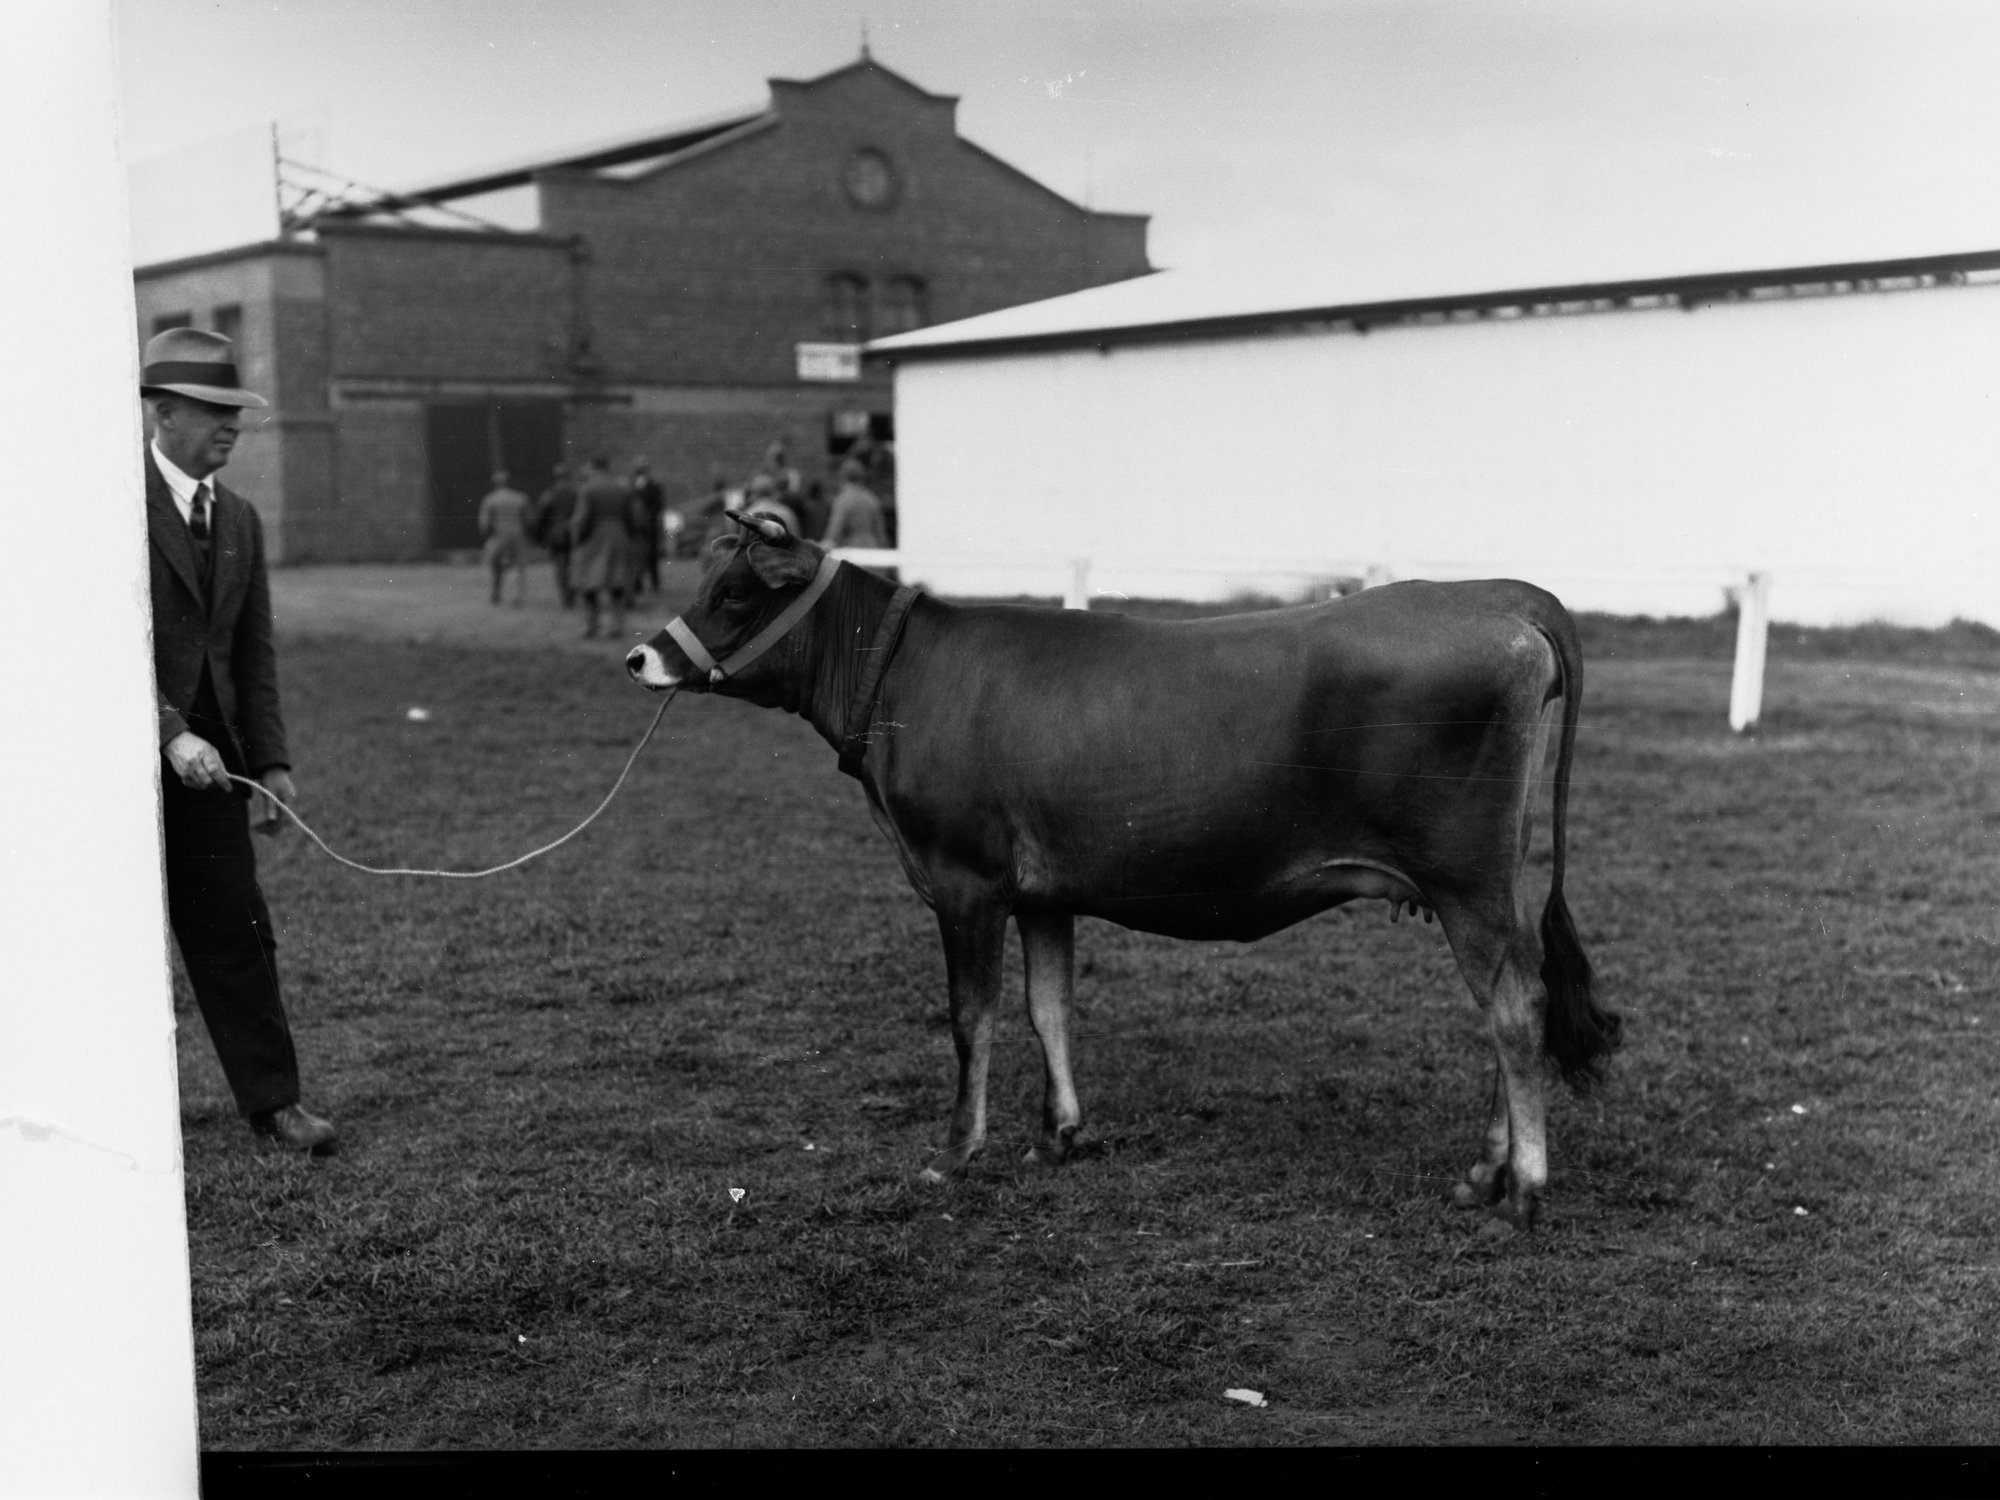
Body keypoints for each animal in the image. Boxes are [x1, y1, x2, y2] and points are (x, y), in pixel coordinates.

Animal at [626, 514, 1621, 1228]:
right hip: (1487, 885)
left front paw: (956, 1150)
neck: (903, 680)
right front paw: (1058, 1137)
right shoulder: (1041, 893)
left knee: (1515, 1009)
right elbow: (1049, 1007)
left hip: (1466, 881)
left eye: (736, 592)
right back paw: (1484, 1171)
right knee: (1510, 1005)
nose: (642, 655)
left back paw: (1524, 1191)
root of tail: (1500, 597)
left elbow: (972, 1017)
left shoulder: (965, 881)